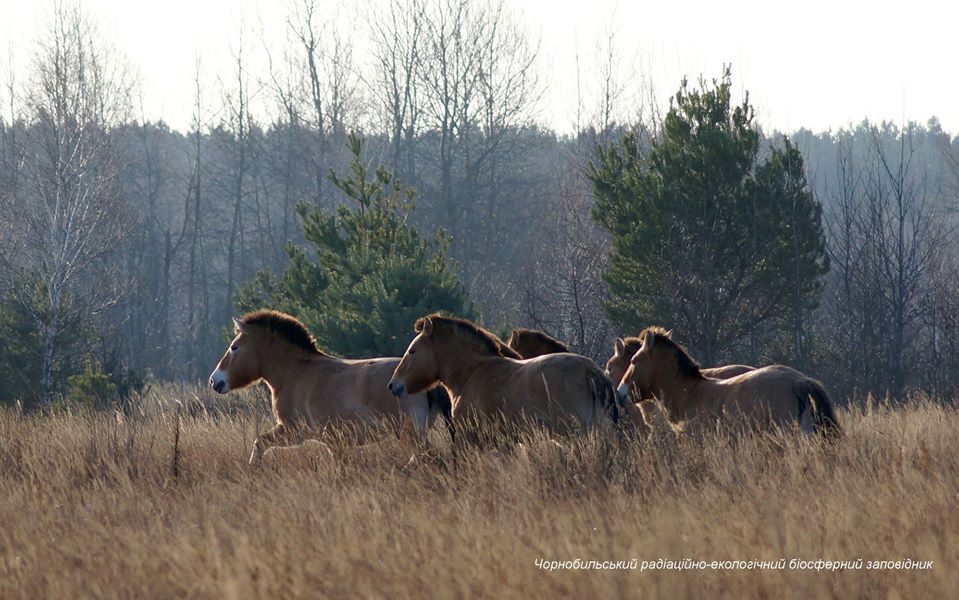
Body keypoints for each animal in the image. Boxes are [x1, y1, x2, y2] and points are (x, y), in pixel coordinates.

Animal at [209, 310, 454, 464]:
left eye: (234, 347)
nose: (215, 380)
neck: (295, 372)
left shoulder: (293, 431)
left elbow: (259, 443)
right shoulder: (333, 443)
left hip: (411, 434)